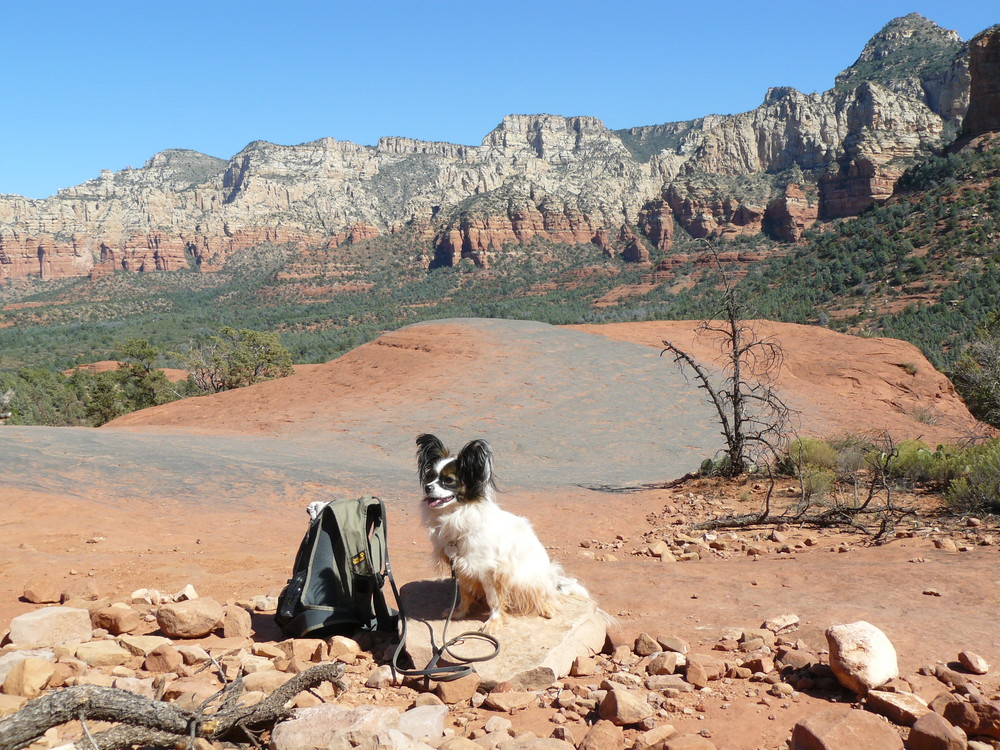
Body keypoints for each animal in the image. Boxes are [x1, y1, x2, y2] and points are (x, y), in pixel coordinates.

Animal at [412, 434, 584, 636]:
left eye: (448, 480)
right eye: (431, 477)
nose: (427, 487)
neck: (455, 514)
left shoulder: (489, 571)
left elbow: (494, 600)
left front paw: (493, 622)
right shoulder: (462, 566)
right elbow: (464, 593)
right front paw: (459, 612)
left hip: (524, 578)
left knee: (544, 594)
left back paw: (546, 607)